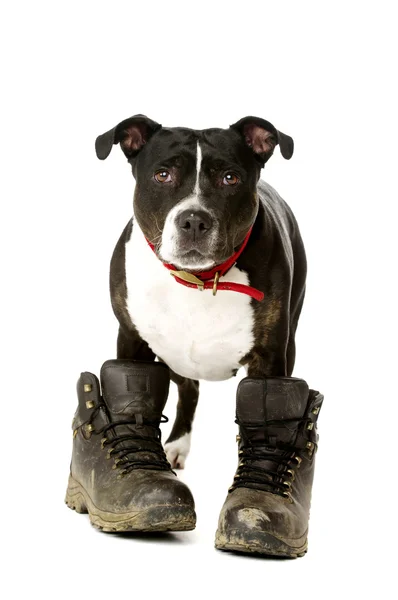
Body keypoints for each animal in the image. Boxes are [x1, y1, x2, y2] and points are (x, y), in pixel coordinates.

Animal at [95, 116, 306, 468]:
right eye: (162, 175)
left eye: (230, 178)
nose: (194, 220)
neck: (198, 280)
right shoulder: (131, 341)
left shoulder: (270, 358)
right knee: (189, 389)